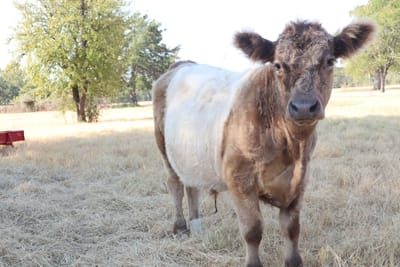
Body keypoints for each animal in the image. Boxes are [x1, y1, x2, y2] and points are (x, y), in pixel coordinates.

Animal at [152, 19, 376, 266]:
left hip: (189, 154)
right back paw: (180, 227)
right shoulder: (239, 178)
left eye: (329, 61)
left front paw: (293, 261)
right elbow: (253, 230)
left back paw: (196, 227)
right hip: (164, 148)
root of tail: (181, 64)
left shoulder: (300, 180)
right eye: (277, 65)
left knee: (191, 185)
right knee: (175, 184)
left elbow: (292, 229)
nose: (303, 106)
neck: (292, 147)